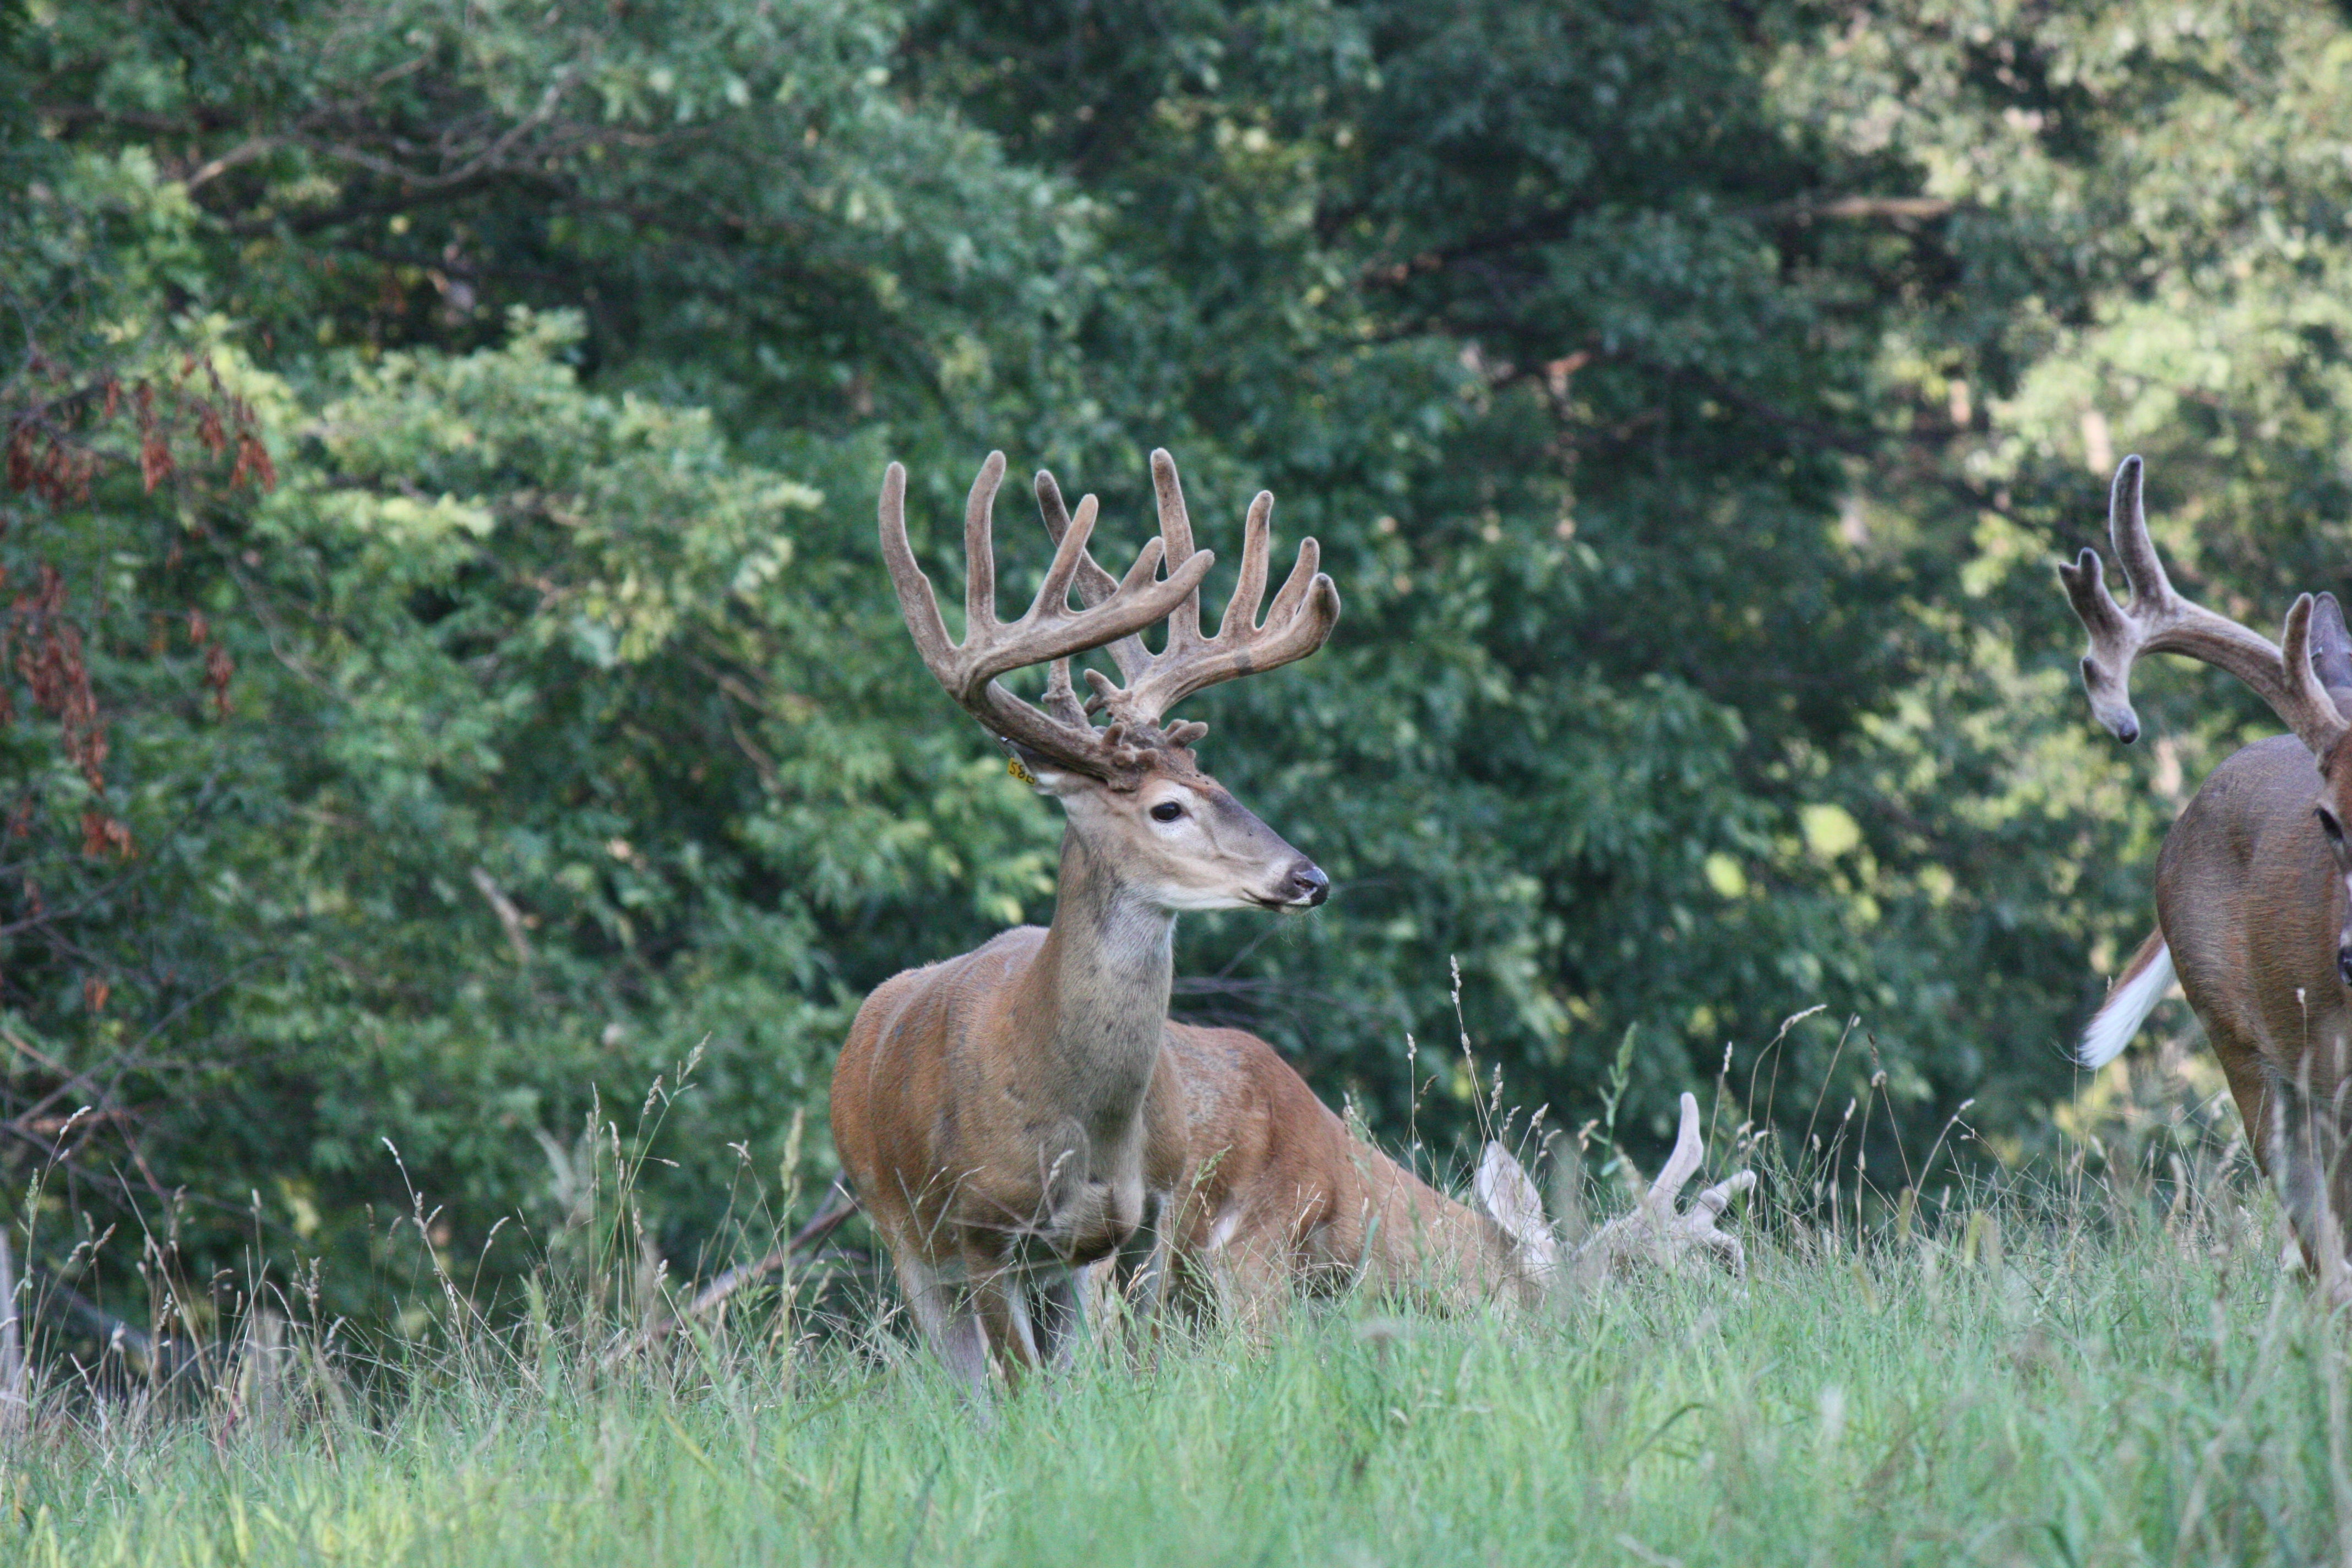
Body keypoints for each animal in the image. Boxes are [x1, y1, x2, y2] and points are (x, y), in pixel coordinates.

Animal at [832, 444, 1345, 1382]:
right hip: (899, 1233)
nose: (1307, 877)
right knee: (961, 1381)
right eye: (1167, 808)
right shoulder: (978, 1229)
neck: (1078, 1120)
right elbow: (1021, 1386)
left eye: (1220, 781)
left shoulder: (1116, 1235)